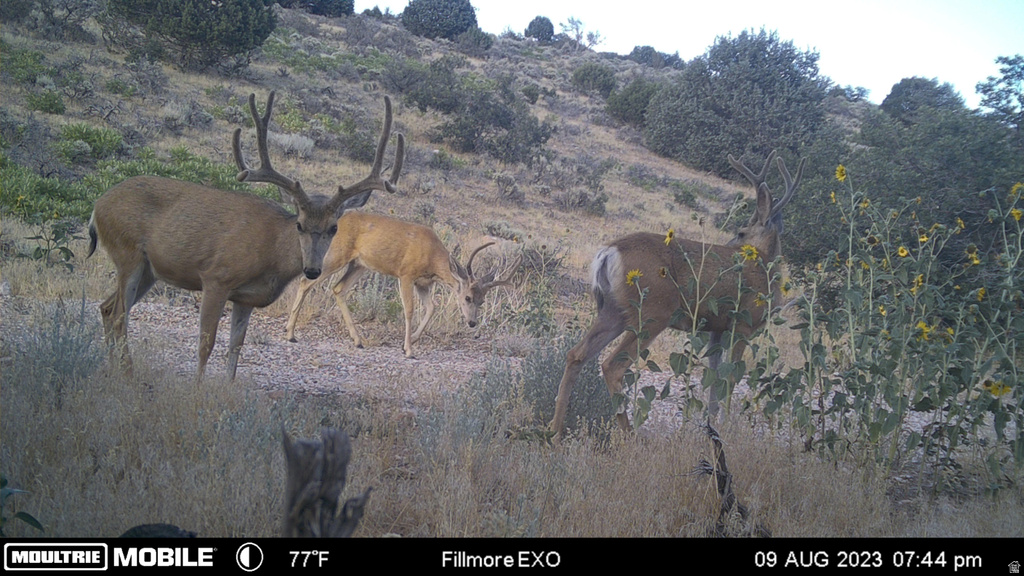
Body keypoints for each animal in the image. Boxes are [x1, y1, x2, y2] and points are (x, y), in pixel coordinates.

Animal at [87, 91, 404, 381]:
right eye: (300, 225)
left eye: (333, 228)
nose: (313, 270)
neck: (271, 252)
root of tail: (97, 206)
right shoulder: (216, 277)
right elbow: (206, 344)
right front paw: (198, 390)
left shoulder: (247, 298)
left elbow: (235, 349)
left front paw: (227, 389)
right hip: (127, 252)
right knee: (118, 314)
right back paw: (126, 374)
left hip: (149, 270)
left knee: (107, 308)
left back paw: (111, 369)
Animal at [284, 211, 519, 358]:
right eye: (467, 297)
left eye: (482, 301)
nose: (472, 322)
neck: (432, 257)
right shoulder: (406, 274)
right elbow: (409, 309)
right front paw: (409, 350)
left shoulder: (423, 283)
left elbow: (431, 308)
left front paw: (411, 340)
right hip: (336, 256)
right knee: (305, 281)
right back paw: (290, 334)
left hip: (359, 264)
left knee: (338, 289)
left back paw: (358, 340)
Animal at [551, 150, 805, 437]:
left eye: (740, 232)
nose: (730, 243)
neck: (764, 265)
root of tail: (608, 252)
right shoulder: (742, 323)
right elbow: (731, 377)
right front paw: (727, 426)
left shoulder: (716, 329)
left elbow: (714, 379)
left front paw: (711, 427)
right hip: (653, 312)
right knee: (612, 366)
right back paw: (630, 435)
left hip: (613, 312)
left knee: (576, 355)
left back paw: (555, 430)